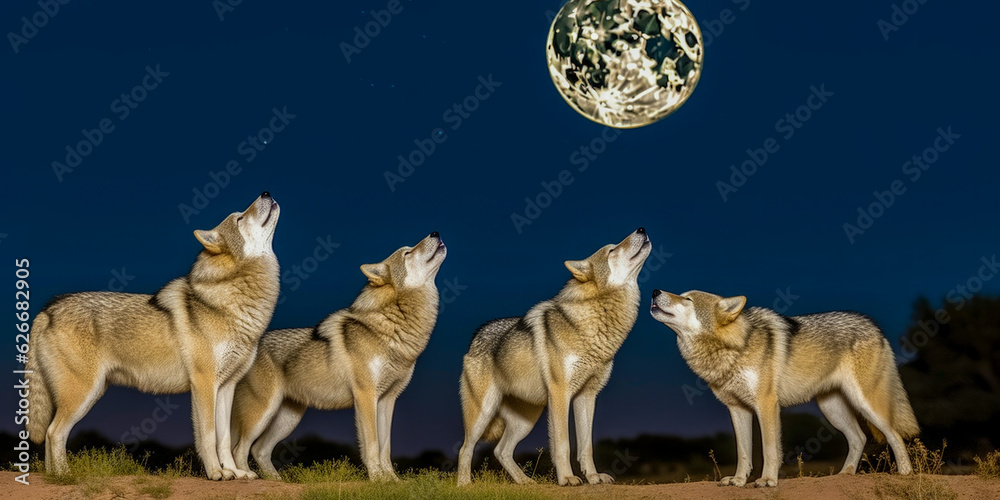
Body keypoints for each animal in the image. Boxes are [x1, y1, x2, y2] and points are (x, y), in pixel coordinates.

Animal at [26, 192, 280, 480]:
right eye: (239, 218)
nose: (266, 193)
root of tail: (47, 309)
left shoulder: (226, 387)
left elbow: (224, 438)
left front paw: (235, 472)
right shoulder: (204, 384)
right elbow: (208, 436)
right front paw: (216, 473)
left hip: (90, 394)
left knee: (51, 435)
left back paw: (52, 476)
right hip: (82, 395)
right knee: (53, 433)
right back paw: (64, 476)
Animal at [230, 232, 446, 480]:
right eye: (407, 253)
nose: (435, 233)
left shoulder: (387, 400)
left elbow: (386, 447)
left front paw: (392, 480)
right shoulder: (366, 396)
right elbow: (373, 444)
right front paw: (376, 478)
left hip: (287, 419)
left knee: (259, 449)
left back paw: (275, 480)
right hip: (262, 413)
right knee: (239, 448)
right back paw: (248, 476)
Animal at [457, 228, 651, 487]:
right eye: (612, 250)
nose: (642, 229)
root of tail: (475, 337)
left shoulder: (587, 395)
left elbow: (586, 446)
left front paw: (593, 477)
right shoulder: (561, 394)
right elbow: (563, 443)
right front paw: (567, 478)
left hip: (526, 421)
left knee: (501, 451)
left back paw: (525, 482)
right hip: (484, 412)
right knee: (465, 448)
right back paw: (464, 485)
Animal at [649, 289, 919, 487]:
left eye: (687, 299)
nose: (654, 291)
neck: (733, 348)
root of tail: (874, 326)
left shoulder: (766, 404)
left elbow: (769, 449)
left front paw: (767, 481)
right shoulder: (737, 409)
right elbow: (743, 452)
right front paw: (738, 481)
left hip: (865, 403)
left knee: (894, 435)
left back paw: (905, 474)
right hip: (833, 410)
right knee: (859, 438)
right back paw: (845, 474)